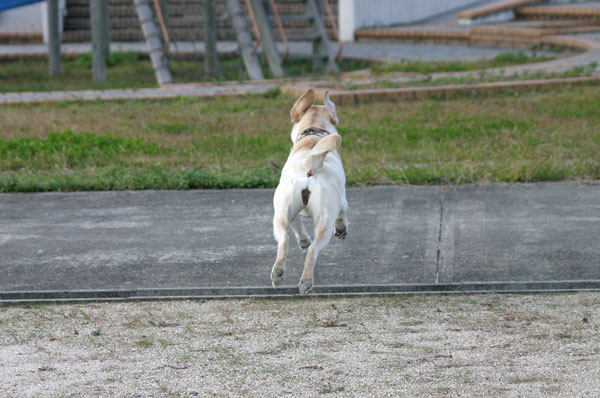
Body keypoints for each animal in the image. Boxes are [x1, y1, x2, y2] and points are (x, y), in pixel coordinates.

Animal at [270, 90, 350, 296]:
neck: (313, 136)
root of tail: (310, 164)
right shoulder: (342, 200)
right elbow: (343, 213)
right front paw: (342, 229)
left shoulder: (292, 212)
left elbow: (297, 226)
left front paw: (302, 240)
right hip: (324, 221)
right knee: (314, 249)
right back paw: (306, 281)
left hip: (281, 213)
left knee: (284, 240)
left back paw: (278, 273)